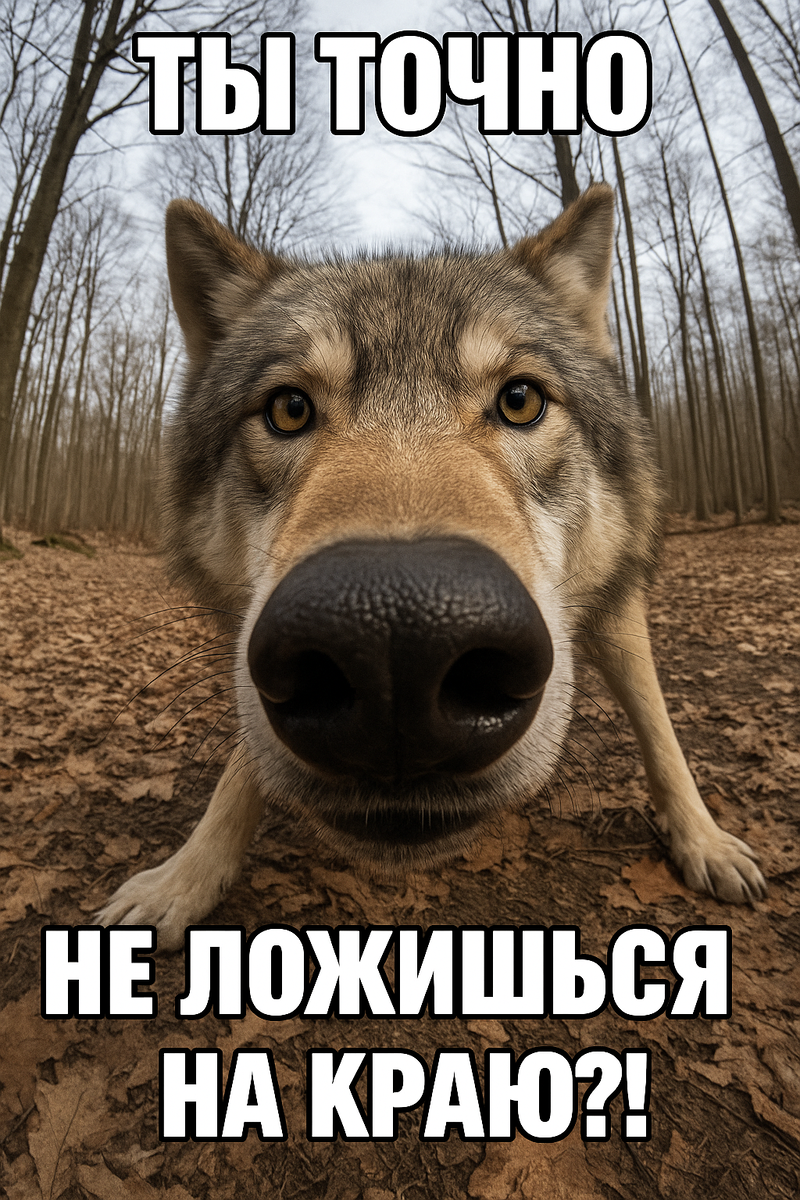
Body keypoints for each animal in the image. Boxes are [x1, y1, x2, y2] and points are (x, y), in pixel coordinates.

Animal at [98, 184, 765, 950]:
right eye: (289, 409)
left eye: (520, 400)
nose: (397, 644)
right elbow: (241, 768)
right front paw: (182, 881)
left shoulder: (620, 617)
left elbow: (658, 725)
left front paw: (702, 841)